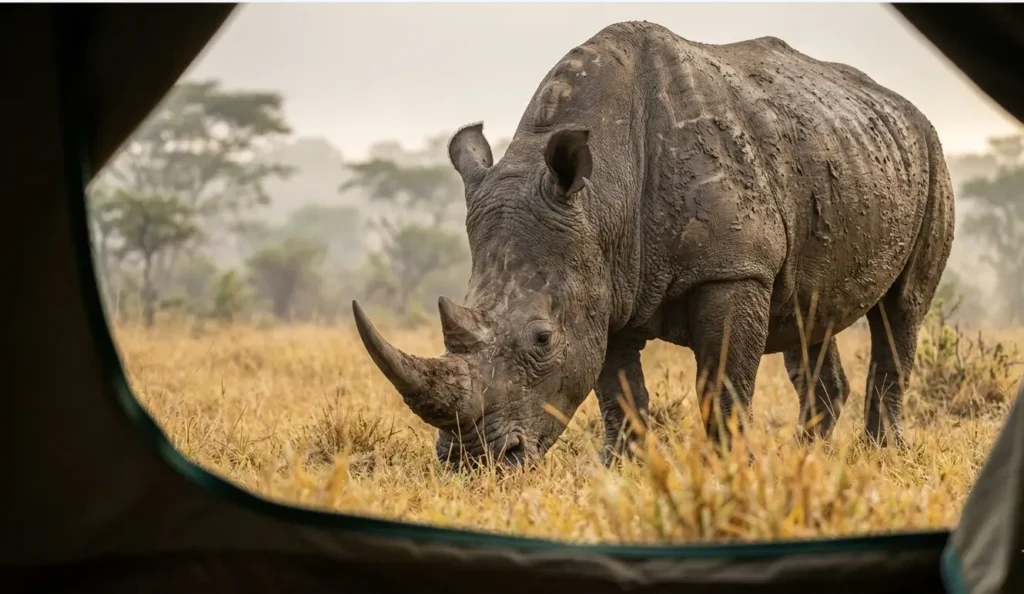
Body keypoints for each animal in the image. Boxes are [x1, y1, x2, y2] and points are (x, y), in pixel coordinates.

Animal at [351, 21, 955, 468]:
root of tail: (902, 106)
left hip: (929, 153)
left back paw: (880, 457)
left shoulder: (735, 268)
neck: (601, 197)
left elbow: (723, 381)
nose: (473, 461)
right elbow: (617, 390)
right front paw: (619, 468)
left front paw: (724, 471)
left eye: (542, 339)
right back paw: (805, 460)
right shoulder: (604, 283)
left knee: (901, 310)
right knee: (809, 317)